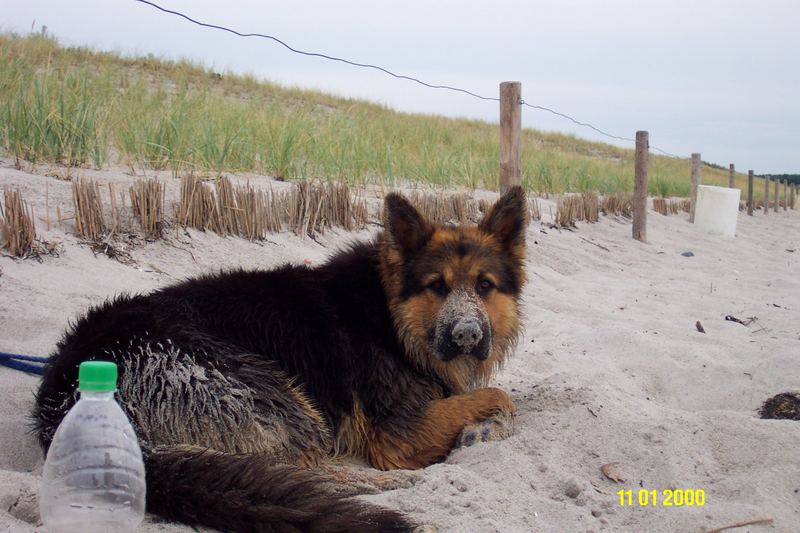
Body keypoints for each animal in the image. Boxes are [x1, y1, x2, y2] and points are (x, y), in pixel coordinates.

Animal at [34, 186, 528, 528]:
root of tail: (63, 392)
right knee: (295, 469)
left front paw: (483, 427)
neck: (391, 317)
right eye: (436, 287)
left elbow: (494, 394)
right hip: (262, 388)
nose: (467, 335)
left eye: (484, 286)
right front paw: (486, 426)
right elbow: (500, 395)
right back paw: (380, 486)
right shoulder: (401, 433)